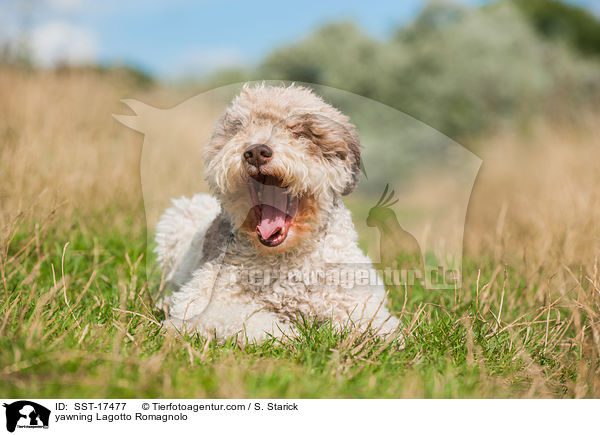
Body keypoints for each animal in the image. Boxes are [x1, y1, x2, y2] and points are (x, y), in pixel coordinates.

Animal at [155, 84, 398, 344]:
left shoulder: (359, 299)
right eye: (240, 128)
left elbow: (379, 326)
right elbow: (238, 318)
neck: (284, 259)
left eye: (299, 131)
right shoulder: (202, 298)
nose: (256, 152)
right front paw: (290, 334)